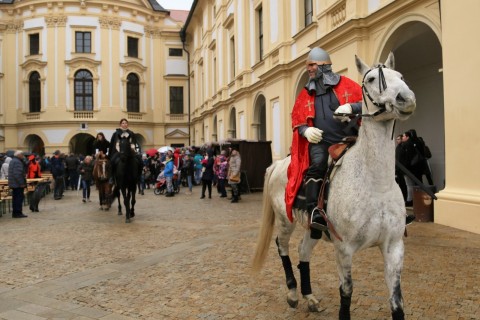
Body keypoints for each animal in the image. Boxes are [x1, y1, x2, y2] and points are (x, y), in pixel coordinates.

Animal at [253, 53, 414, 320]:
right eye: (371, 79)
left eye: (400, 76)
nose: (406, 99)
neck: (376, 184)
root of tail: (279, 164)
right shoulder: (344, 249)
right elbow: (346, 292)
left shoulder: (394, 247)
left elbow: (397, 301)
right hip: (285, 220)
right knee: (282, 247)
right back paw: (293, 293)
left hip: (312, 227)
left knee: (303, 251)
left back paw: (309, 297)